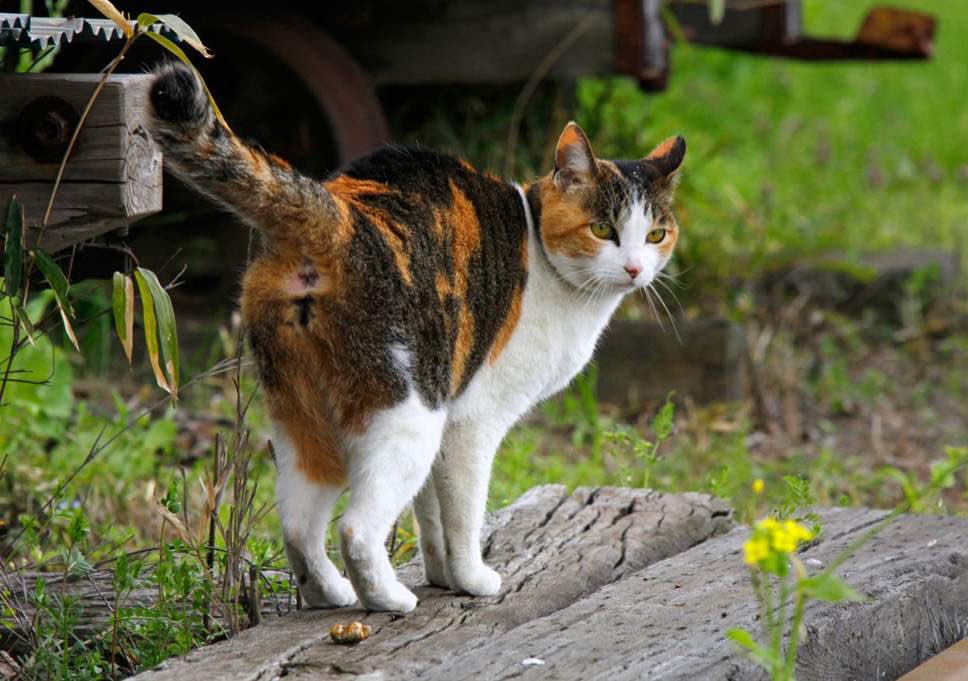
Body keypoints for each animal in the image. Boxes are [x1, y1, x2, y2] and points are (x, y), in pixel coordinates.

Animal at [147, 63, 684, 612]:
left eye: (656, 235)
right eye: (602, 229)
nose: (636, 269)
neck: (545, 261)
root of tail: (340, 217)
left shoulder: (449, 414)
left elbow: (431, 516)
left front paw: (442, 574)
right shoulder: (469, 422)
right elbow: (463, 515)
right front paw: (471, 579)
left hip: (303, 415)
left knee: (297, 523)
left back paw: (331, 595)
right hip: (409, 414)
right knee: (356, 528)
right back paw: (390, 599)